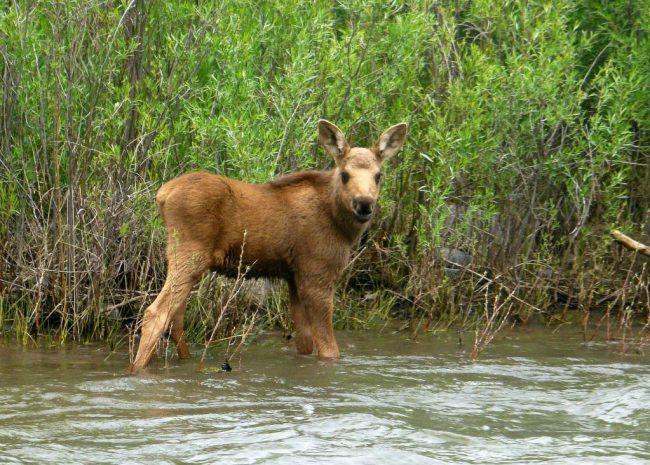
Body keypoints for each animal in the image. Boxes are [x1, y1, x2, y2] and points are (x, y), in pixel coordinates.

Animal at [131, 119, 408, 371]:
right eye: (345, 174)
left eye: (379, 176)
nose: (364, 204)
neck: (339, 222)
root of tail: (162, 195)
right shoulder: (317, 274)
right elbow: (329, 350)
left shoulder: (293, 276)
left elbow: (305, 343)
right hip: (190, 255)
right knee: (156, 313)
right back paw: (137, 370)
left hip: (181, 257)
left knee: (176, 317)